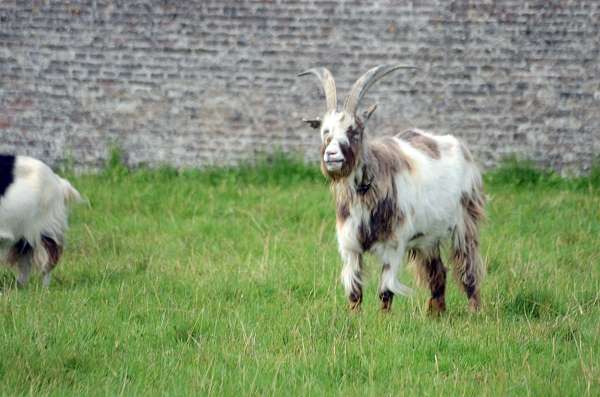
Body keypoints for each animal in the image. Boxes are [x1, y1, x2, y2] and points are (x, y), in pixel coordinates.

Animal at [0, 153, 82, 286]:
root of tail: (58, 182)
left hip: (45, 228)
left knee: (48, 260)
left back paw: (44, 288)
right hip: (24, 234)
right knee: (25, 260)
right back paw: (20, 286)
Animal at [298, 65, 486, 312]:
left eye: (354, 130)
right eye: (325, 132)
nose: (332, 156)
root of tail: (460, 146)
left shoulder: (393, 245)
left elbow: (385, 292)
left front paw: (382, 319)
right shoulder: (350, 247)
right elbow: (354, 293)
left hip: (465, 222)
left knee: (468, 269)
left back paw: (475, 311)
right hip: (428, 237)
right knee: (438, 273)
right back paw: (435, 314)